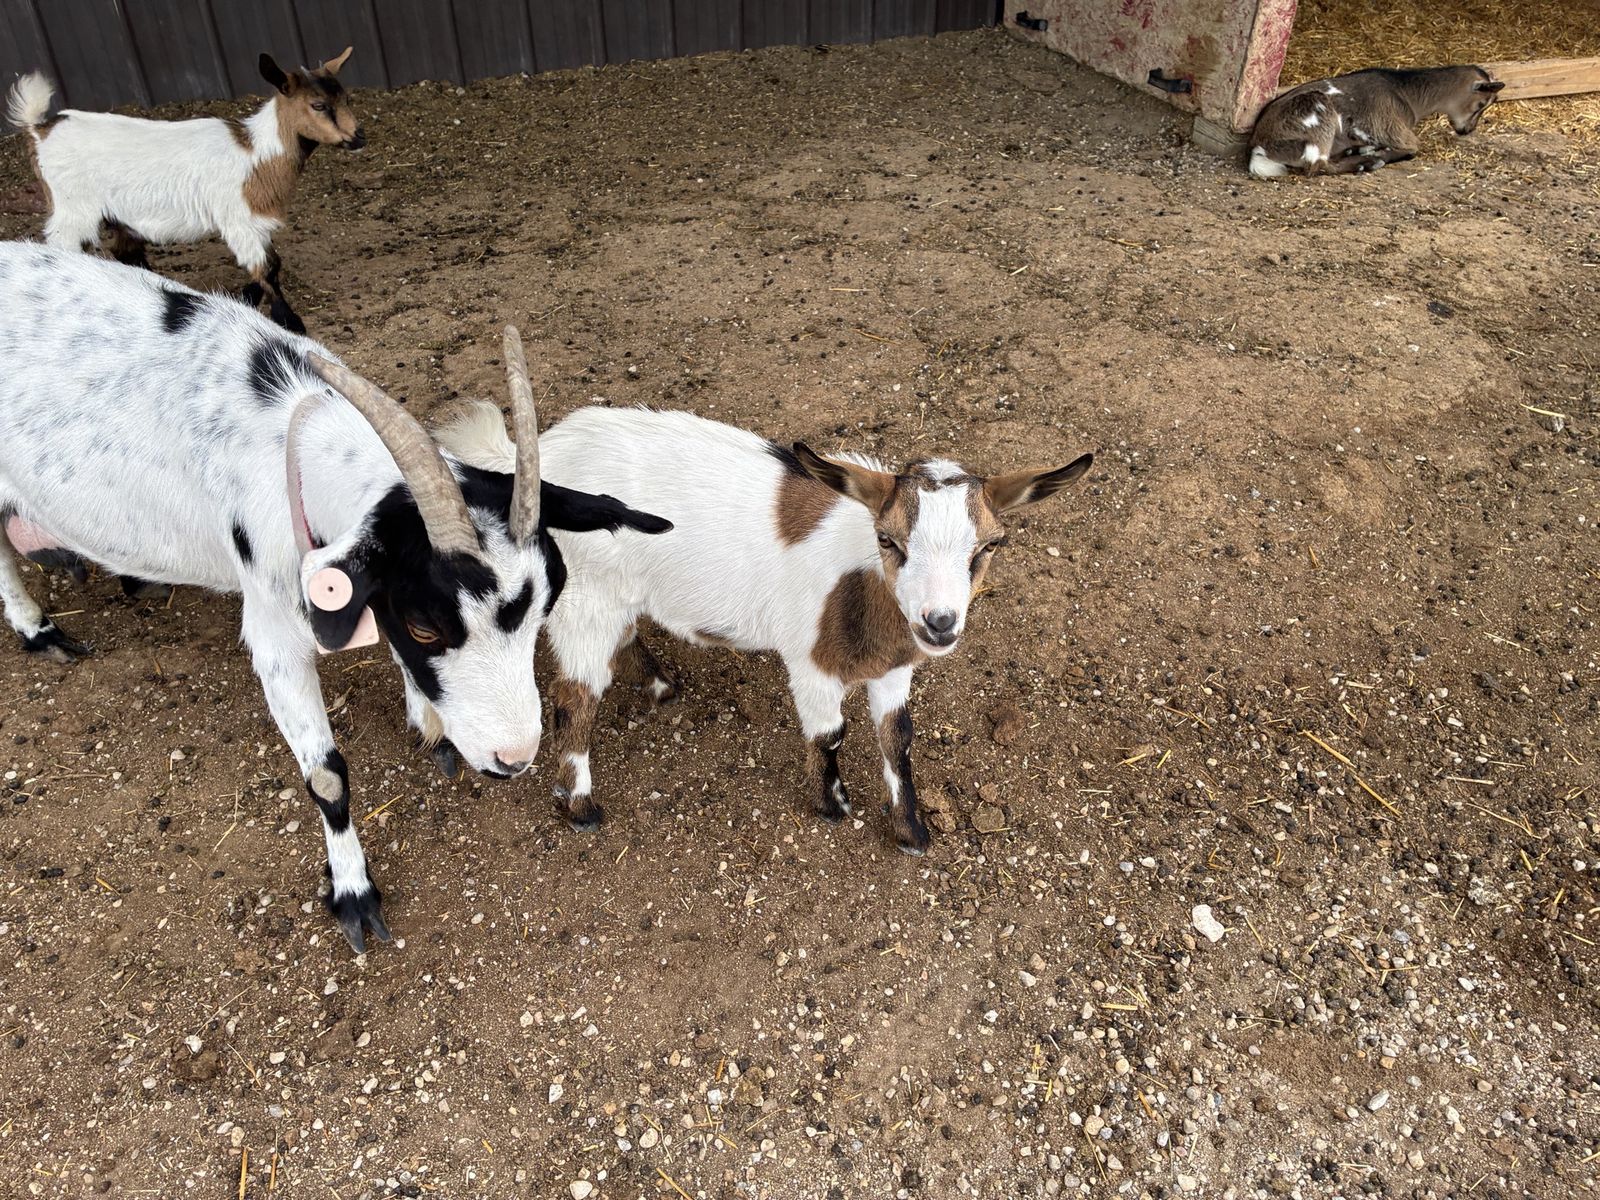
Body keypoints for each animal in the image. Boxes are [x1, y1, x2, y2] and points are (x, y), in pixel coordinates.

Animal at [0, 244, 671, 951]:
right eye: (426, 626)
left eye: (545, 607)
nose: (512, 759)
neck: (288, 443)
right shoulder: (272, 627)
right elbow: (326, 776)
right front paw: (353, 894)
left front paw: (429, 726)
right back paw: (37, 628)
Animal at [6, 48, 366, 333]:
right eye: (318, 105)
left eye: (347, 98)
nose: (358, 137)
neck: (256, 155)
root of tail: (40, 129)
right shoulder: (238, 218)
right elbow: (268, 267)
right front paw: (291, 322)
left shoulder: (256, 221)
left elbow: (266, 267)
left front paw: (243, 299)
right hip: (73, 208)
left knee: (127, 255)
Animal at [436, 404, 1092, 855]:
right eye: (889, 541)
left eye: (989, 547)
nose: (939, 622)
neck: (859, 590)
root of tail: (527, 459)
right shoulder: (810, 662)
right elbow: (830, 734)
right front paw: (833, 804)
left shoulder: (894, 668)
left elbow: (897, 738)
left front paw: (911, 831)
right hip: (584, 601)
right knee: (573, 702)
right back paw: (581, 807)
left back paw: (661, 687)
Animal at [1249, 66, 1503, 178]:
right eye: (1481, 104)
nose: (1467, 130)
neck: (1405, 94)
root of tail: (1260, 145)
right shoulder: (1390, 126)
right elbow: (1413, 148)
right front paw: (1375, 154)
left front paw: (1366, 148)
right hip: (1317, 113)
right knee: (1317, 166)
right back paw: (1366, 162)